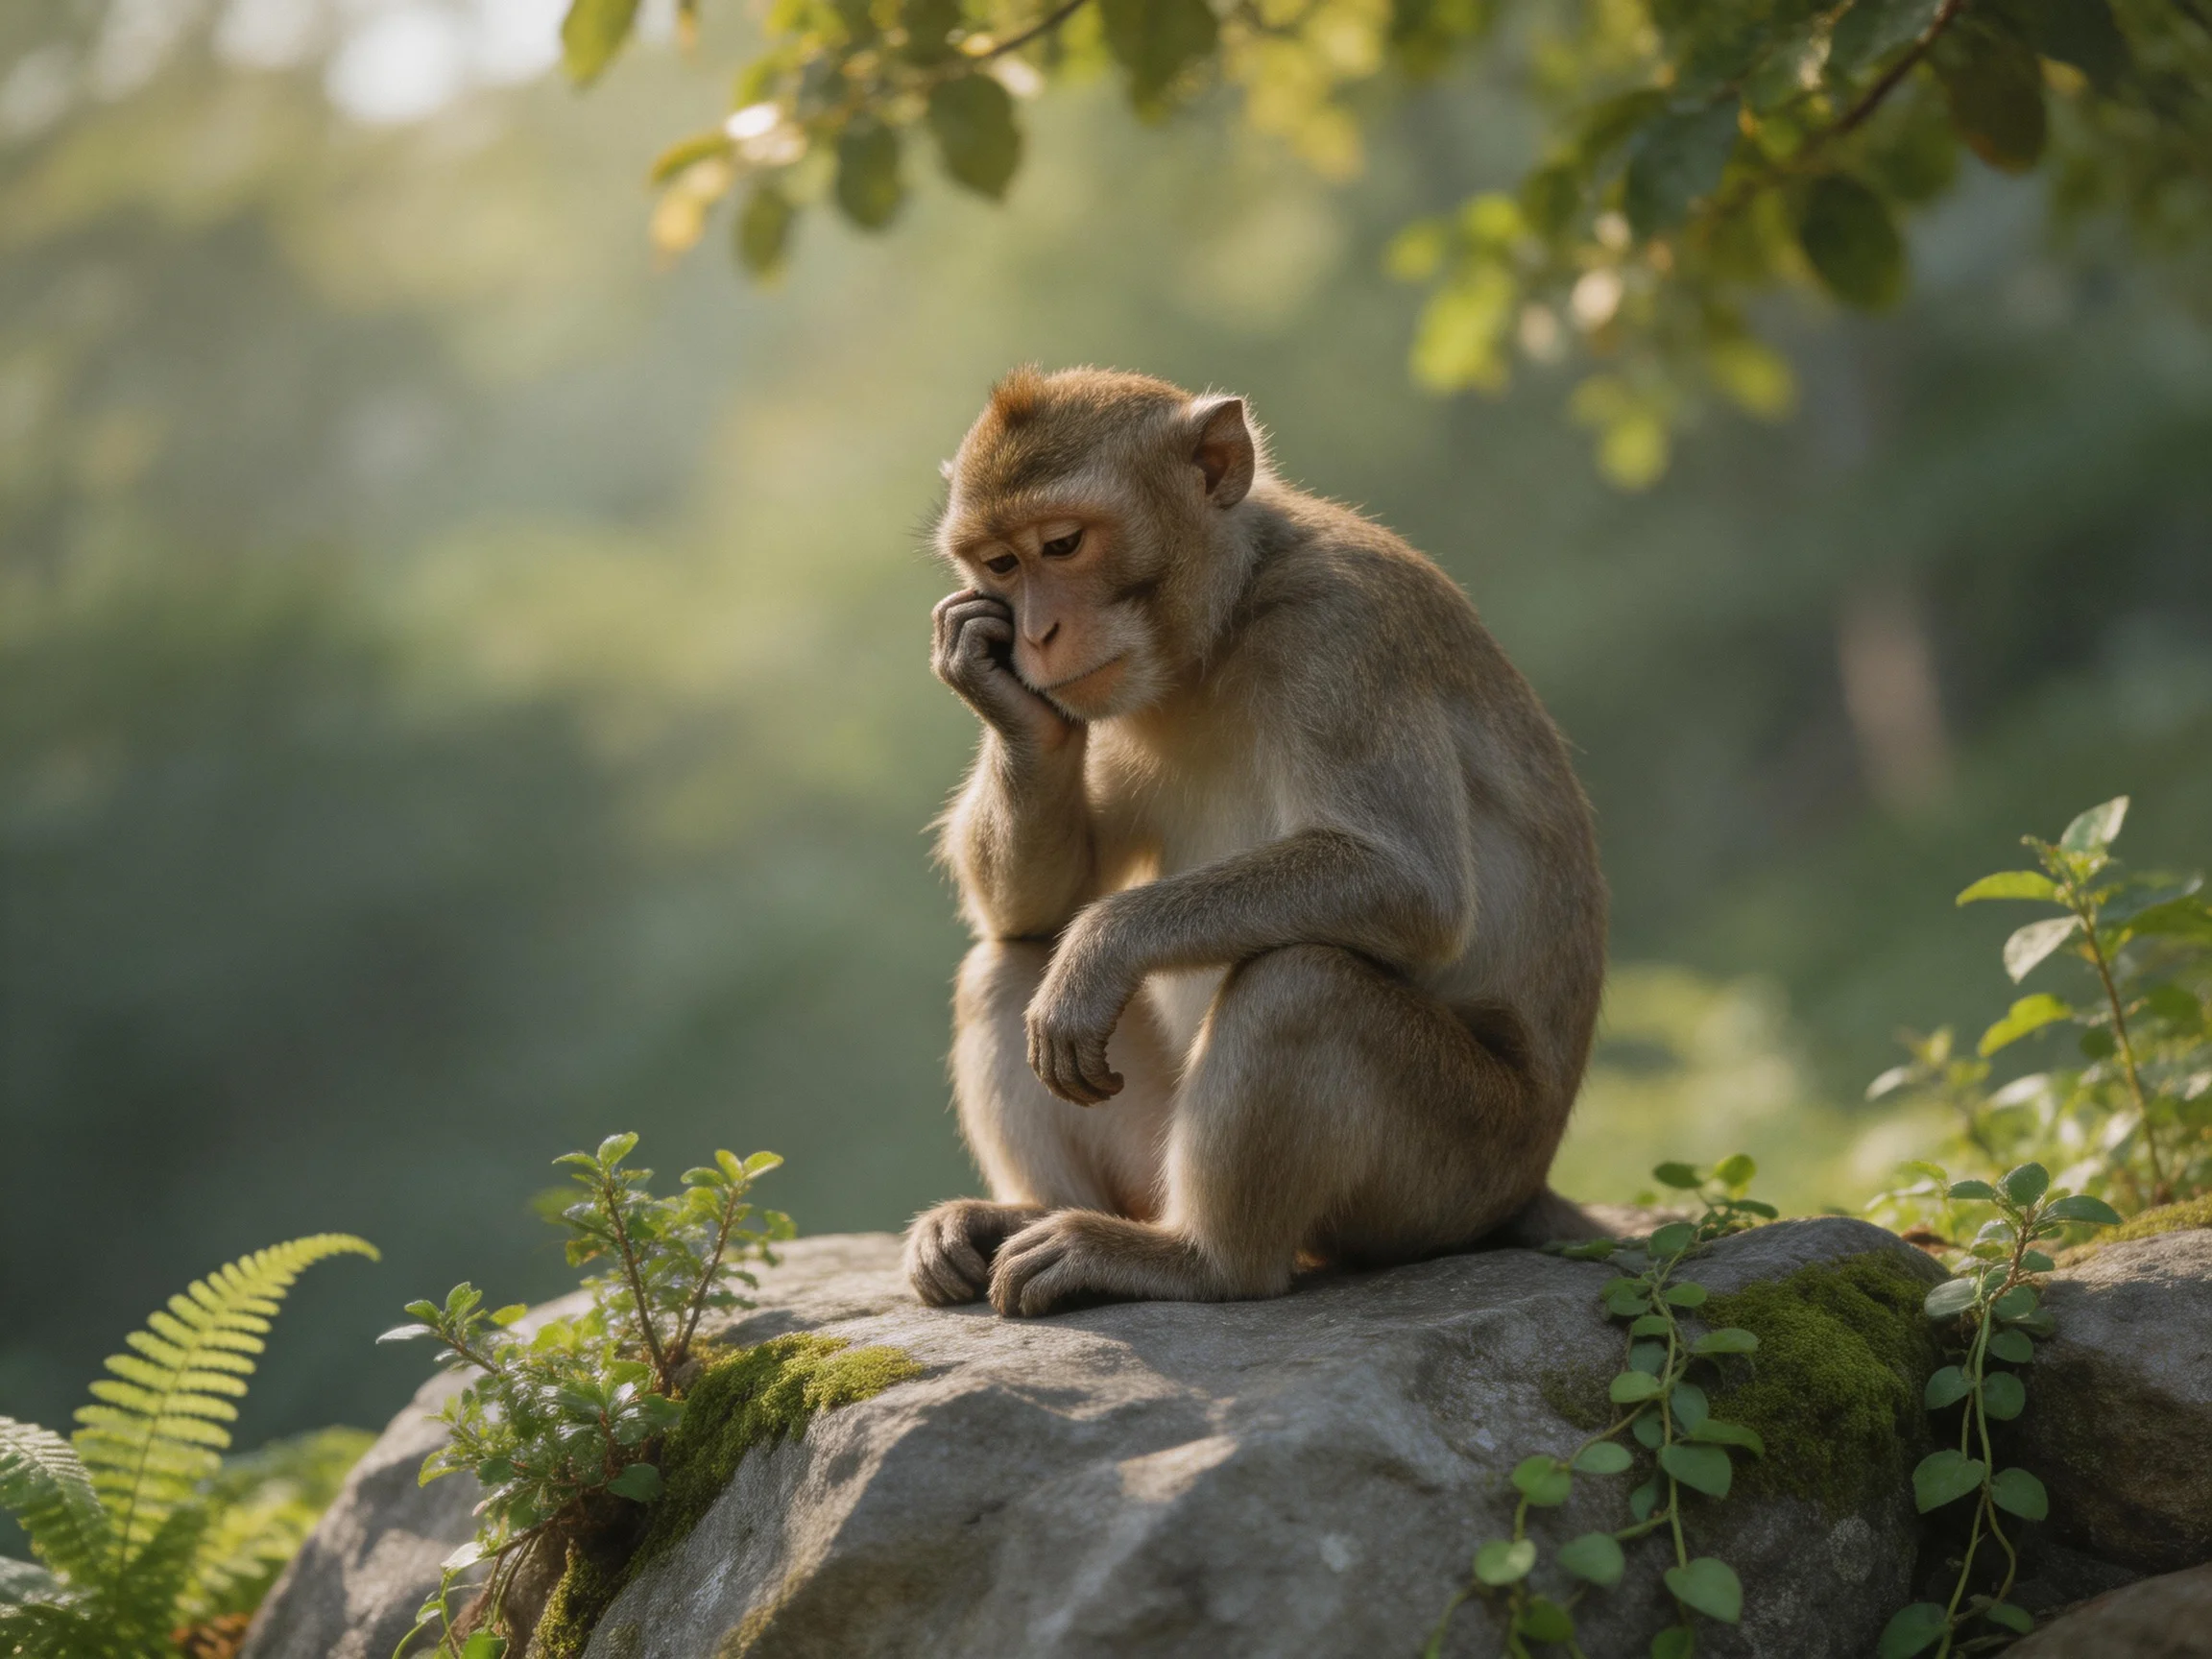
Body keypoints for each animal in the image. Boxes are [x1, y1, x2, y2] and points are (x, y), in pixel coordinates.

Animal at [903, 366, 1608, 1318]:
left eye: (1063, 544)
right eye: (1001, 565)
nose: (1038, 634)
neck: (1225, 622)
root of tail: (1530, 1181)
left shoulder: (1338, 630)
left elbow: (1411, 884)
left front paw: (1100, 949)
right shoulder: (1110, 698)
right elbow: (1039, 901)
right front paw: (991, 682)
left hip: (1457, 1175)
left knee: (1301, 986)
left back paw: (1197, 1260)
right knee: (1007, 959)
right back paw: (1023, 1218)